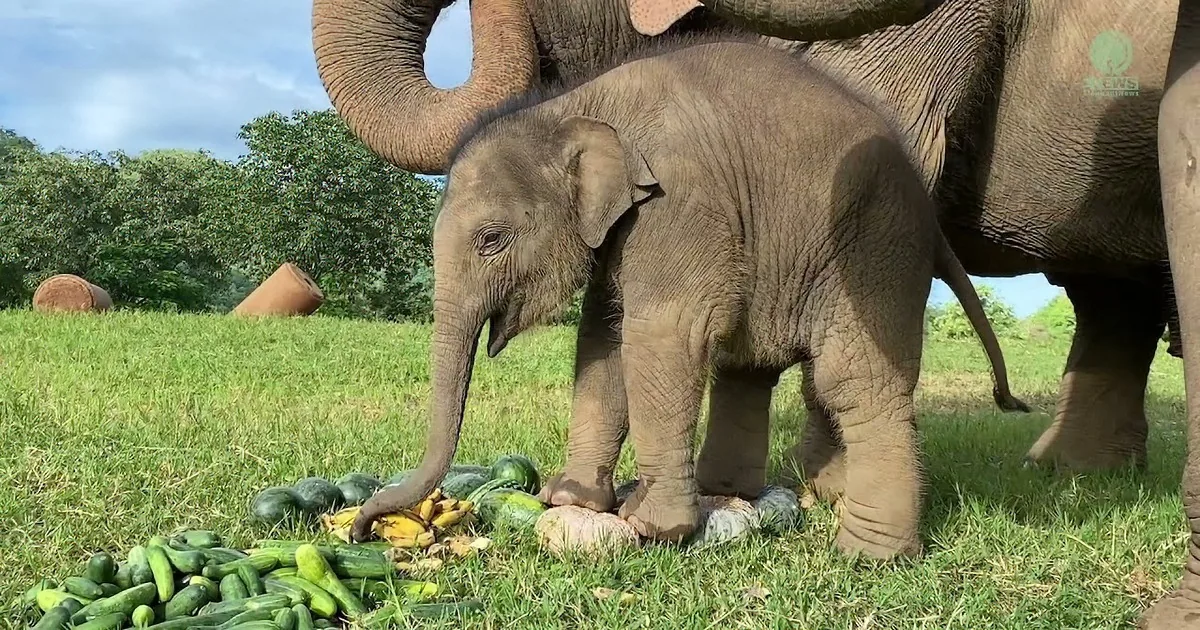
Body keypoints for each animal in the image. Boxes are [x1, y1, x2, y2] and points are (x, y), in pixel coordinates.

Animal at [348, 35, 1030, 558]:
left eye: (492, 238)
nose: (360, 532)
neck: (574, 107)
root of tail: (931, 218)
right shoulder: (623, 226)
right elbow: (602, 340)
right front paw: (571, 499)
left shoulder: (681, 203)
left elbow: (659, 335)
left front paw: (654, 526)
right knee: (750, 368)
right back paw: (733, 493)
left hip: (877, 247)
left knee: (853, 381)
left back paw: (871, 555)